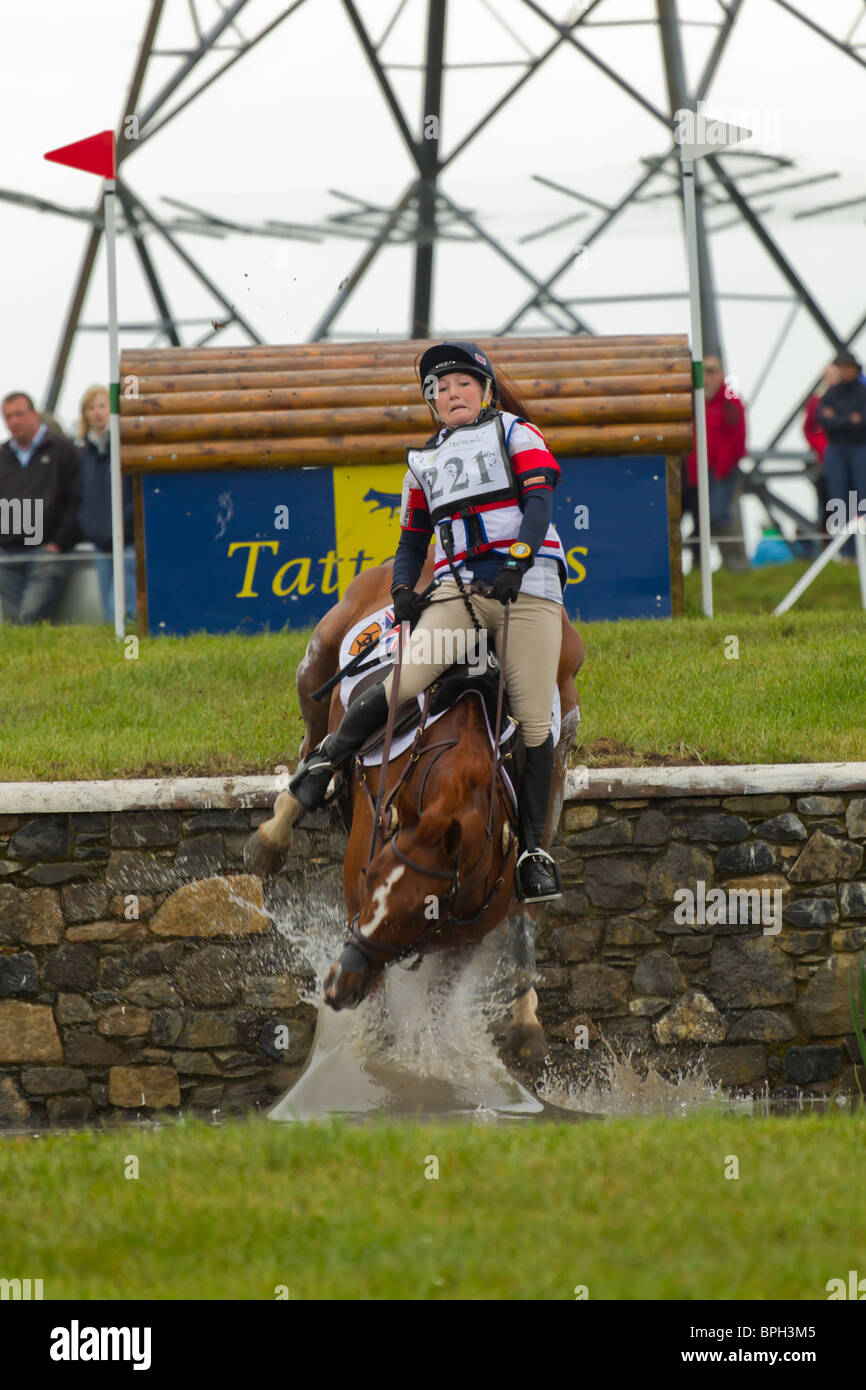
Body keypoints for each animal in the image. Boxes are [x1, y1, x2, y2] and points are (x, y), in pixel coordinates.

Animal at [244, 547, 583, 1056]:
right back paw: (273, 836)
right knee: (313, 747)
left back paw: (526, 1021)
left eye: (417, 910)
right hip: (317, 667)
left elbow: (438, 1009)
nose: (340, 986)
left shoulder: (464, 937)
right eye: (371, 883)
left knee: (527, 906)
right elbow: (384, 1014)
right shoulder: (357, 895)